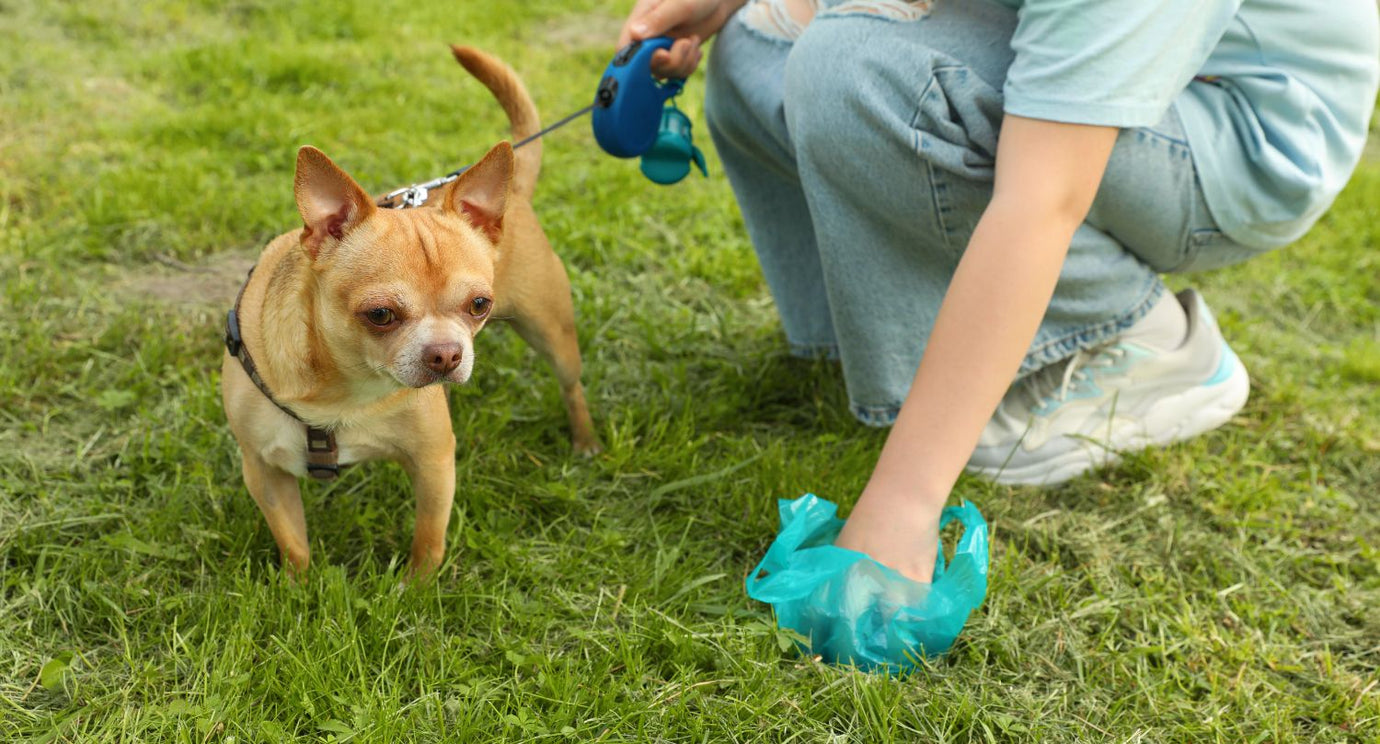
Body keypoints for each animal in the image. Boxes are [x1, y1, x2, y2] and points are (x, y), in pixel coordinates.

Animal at [220, 46, 598, 579]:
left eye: (479, 306)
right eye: (380, 315)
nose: (447, 355)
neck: (346, 390)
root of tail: (512, 196)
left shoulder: (434, 462)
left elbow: (429, 539)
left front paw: (417, 588)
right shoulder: (264, 472)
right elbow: (293, 542)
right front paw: (298, 587)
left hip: (552, 334)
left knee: (571, 385)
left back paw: (584, 440)